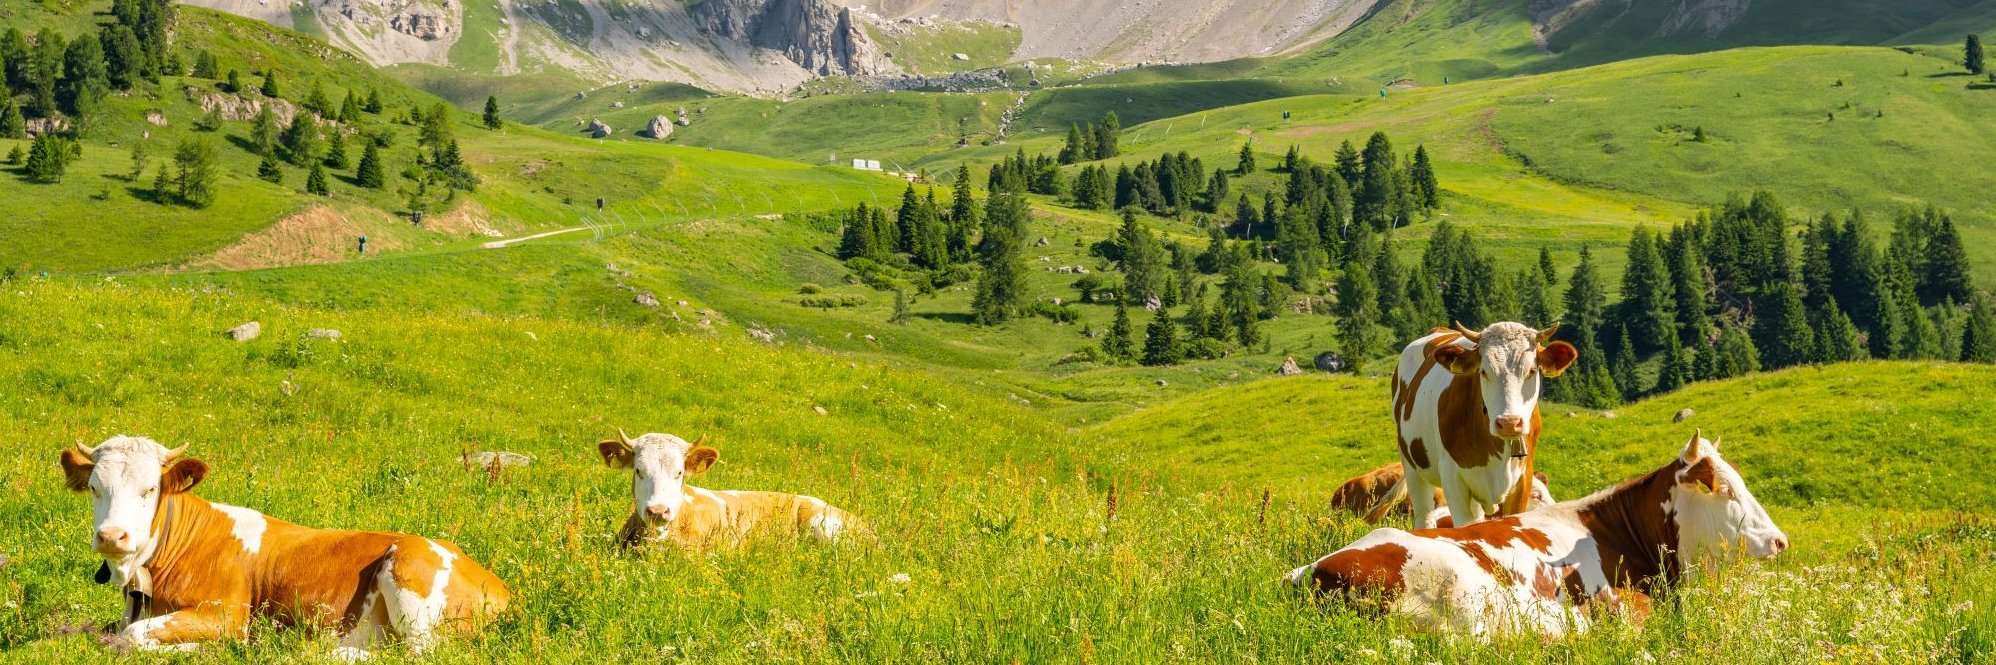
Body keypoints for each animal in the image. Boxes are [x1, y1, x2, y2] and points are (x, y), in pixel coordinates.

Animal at [58, 436, 510, 660]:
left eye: (150, 489)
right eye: (95, 488)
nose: (112, 536)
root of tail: (499, 585)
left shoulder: (226, 613)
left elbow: (133, 636)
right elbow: (115, 632)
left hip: (408, 573)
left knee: (416, 654)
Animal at [1388, 322, 1577, 529]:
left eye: (1532, 371)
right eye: (1484, 371)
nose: (1509, 423)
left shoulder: (1523, 480)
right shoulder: (1452, 478)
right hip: (1412, 466)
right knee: (1425, 516)